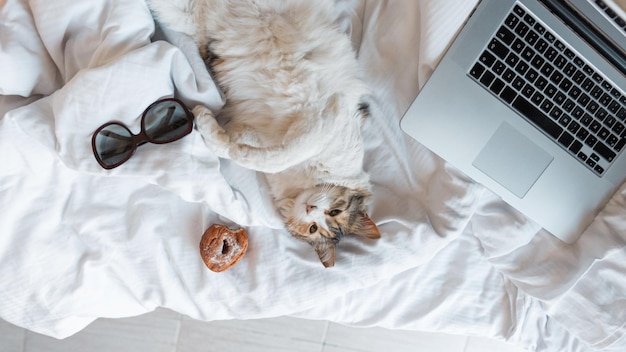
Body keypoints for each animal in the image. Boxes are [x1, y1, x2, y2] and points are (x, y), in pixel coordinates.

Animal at [148, 0, 378, 266]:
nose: (311, 209)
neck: (305, 180)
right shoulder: (325, 117)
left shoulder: (257, 131)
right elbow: (278, 156)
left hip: (184, 17)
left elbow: (244, 147)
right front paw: (234, 148)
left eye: (314, 229)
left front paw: (216, 134)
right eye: (334, 212)